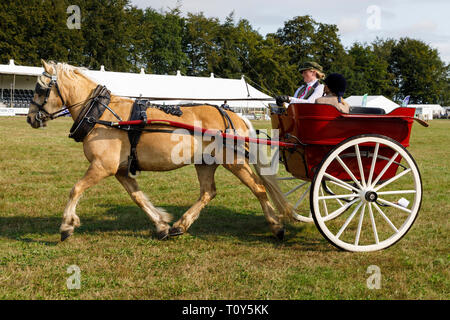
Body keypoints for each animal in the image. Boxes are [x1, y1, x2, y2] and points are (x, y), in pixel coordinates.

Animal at [26, 59, 294, 240]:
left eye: (39, 89)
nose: (30, 118)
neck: (102, 114)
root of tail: (232, 114)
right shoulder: (121, 170)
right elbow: (138, 197)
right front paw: (162, 225)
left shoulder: (102, 166)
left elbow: (76, 189)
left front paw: (66, 226)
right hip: (205, 163)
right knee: (208, 192)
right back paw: (180, 226)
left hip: (235, 161)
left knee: (258, 188)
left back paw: (277, 226)